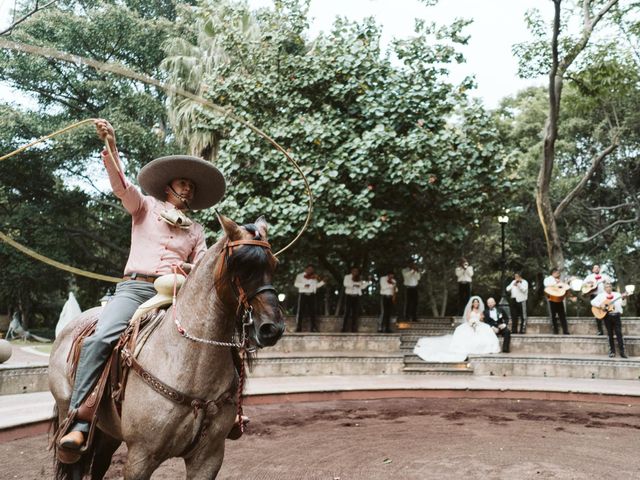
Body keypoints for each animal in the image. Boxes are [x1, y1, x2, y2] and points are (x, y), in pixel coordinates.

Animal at [47, 216, 282, 478]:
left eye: (274, 265)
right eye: (239, 265)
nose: (271, 328)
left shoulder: (209, 457)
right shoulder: (140, 457)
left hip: (109, 432)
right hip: (70, 416)